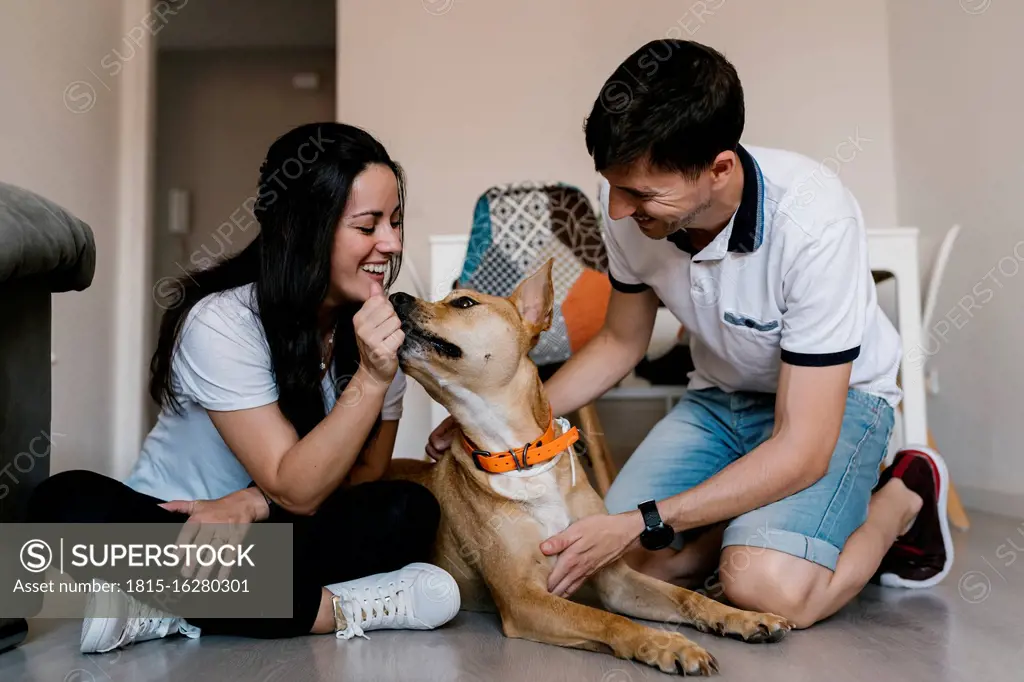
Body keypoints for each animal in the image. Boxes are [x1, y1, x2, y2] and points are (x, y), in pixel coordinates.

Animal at [385, 261, 790, 675]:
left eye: (464, 302)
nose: (395, 297)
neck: (521, 456)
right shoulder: (522, 598)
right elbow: (608, 620)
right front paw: (668, 645)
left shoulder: (614, 577)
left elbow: (684, 597)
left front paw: (740, 616)